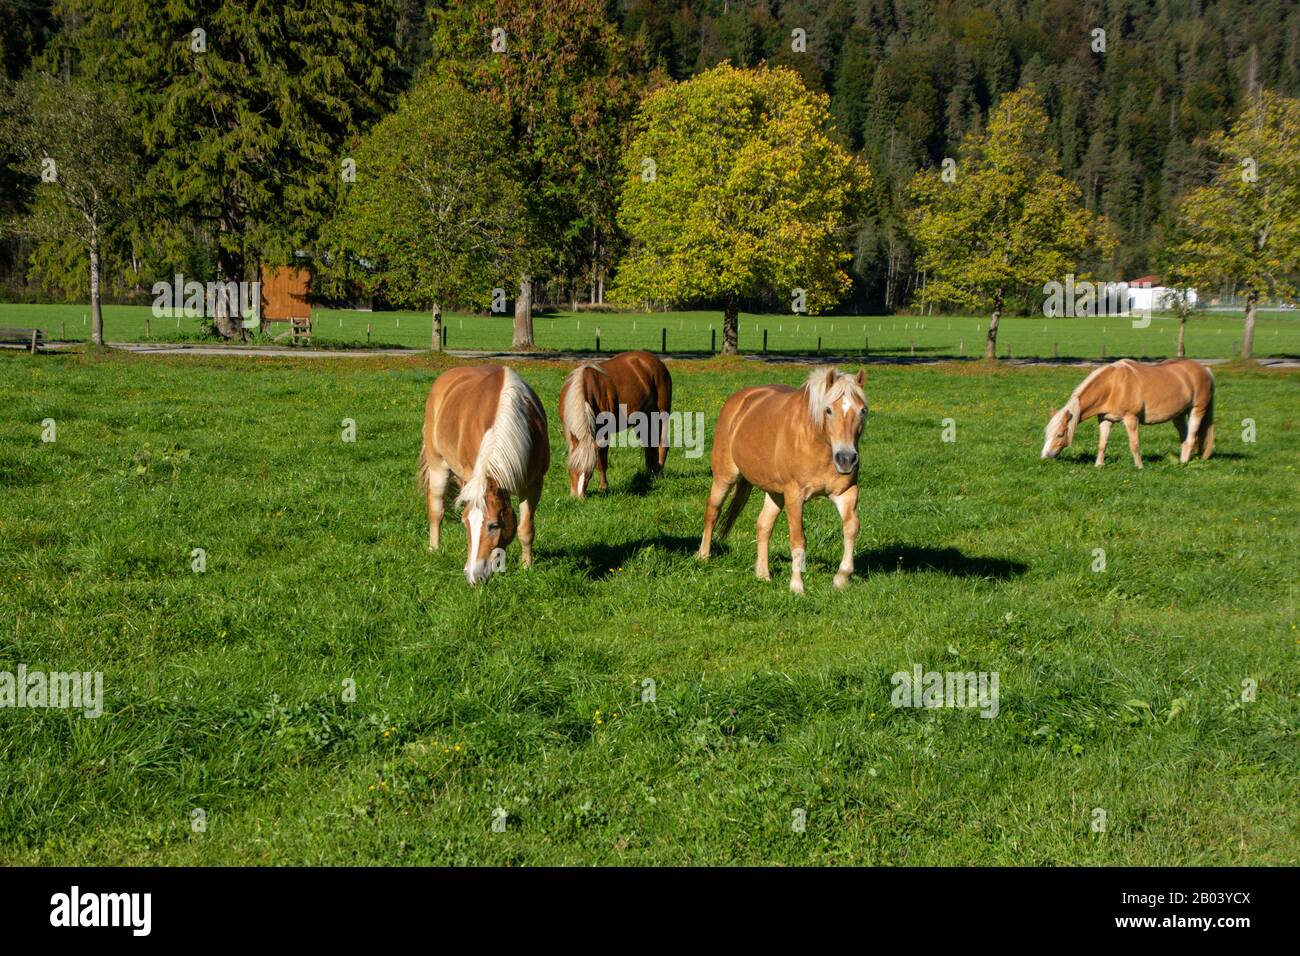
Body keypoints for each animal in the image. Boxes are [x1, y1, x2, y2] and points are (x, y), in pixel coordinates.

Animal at [421, 366, 548, 587]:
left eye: (494, 525)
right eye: (465, 522)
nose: (474, 577)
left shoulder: (533, 485)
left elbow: (525, 529)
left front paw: (526, 567)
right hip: (438, 466)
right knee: (436, 510)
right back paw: (434, 549)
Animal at [559, 351, 676, 502]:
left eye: (590, 471)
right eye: (572, 466)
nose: (578, 497)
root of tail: (656, 362)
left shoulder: (603, 435)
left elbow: (602, 463)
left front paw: (604, 488)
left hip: (662, 413)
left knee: (662, 444)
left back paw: (657, 472)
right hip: (643, 418)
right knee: (649, 445)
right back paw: (648, 473)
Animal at [696, 364, 868, 590]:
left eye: (863, 411)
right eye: (829, 410)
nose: (846, 459)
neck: (816, 442)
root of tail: (739, 400)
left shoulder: (845, 493)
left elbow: (851, 528)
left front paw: (842, 577)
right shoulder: (794, 496)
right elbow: (798, 538)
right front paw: (796, 586)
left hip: (775, 492)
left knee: (763, 526)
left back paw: (763, 574)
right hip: (725, 477)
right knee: (713, 510)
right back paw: (703, 555)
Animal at [1040, 356, 1211, 468]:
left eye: (1060, 434)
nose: (1045, 456)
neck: (1113, 386)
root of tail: (1205, 369)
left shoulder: (1131, 419)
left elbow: (1134, 444)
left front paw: (1140, 467)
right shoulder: (1105, 420)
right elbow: (1102, 443)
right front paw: (1099, 465)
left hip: (1197, 410)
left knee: (1191, 437)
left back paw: (1184, 464)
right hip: (1179, 415)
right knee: (1185, 437)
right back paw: (1182, 461)